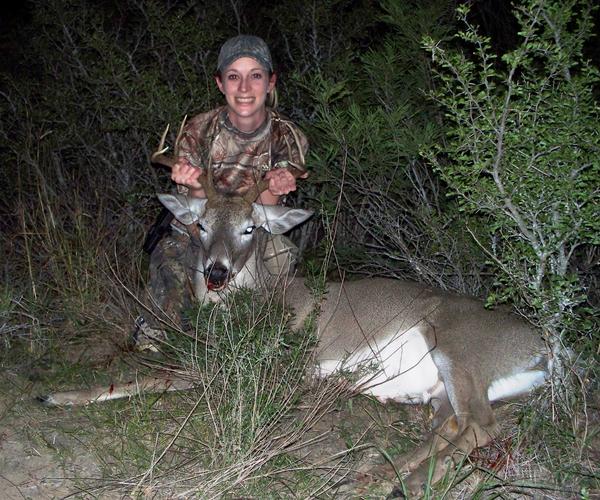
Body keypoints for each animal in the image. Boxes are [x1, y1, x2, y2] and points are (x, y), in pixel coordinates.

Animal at [37, 124, 552, 496]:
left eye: (250, 228)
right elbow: (148, 373)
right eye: (201, 224)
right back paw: (375, 476)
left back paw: (398, 483)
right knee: (453, 426)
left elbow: (157, 377)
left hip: (460, 348)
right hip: (448, 387)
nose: (217, 271)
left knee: (479, 425)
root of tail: (544, 349)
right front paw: (57, 396)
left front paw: (58, 395)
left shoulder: (270, 364)